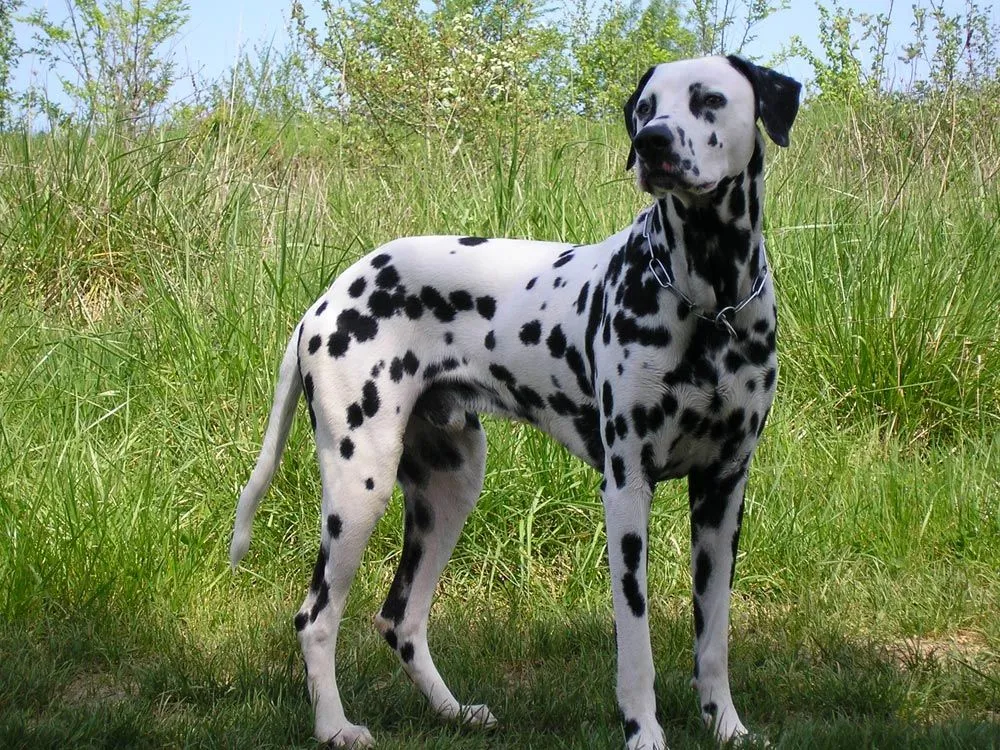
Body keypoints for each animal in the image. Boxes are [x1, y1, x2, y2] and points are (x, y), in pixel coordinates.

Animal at [230, 55, 800, 748]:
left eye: (709, 99)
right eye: (646, 108)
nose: (652, 143)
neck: (710, 300)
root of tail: (326, 300)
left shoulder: (722, 493)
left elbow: (713, 637)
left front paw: (727, 726)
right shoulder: (626, 491)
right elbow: (636, 643)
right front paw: (643, 730)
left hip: (450, 487)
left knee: (401, 618)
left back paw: (452, 711)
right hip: (358, 488)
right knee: (316, 617)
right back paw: (336, 726)